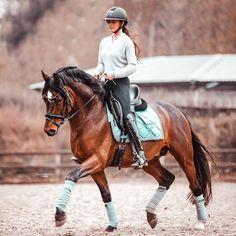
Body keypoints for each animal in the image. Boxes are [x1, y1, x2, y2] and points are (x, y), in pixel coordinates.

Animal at [40, 65, 214, 231]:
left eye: (58, 99)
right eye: (45, 99)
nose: (49, 130)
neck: (90, 116)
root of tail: (176, 111)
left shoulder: (97, 160)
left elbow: (72, 176)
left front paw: (59, 215)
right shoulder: (94, 165)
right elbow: (106, 194)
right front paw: (112, 225)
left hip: (184, 156)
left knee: (195, 184)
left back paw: (201, 222)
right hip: (151, 161)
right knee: (167, 178)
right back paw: (151, 216)